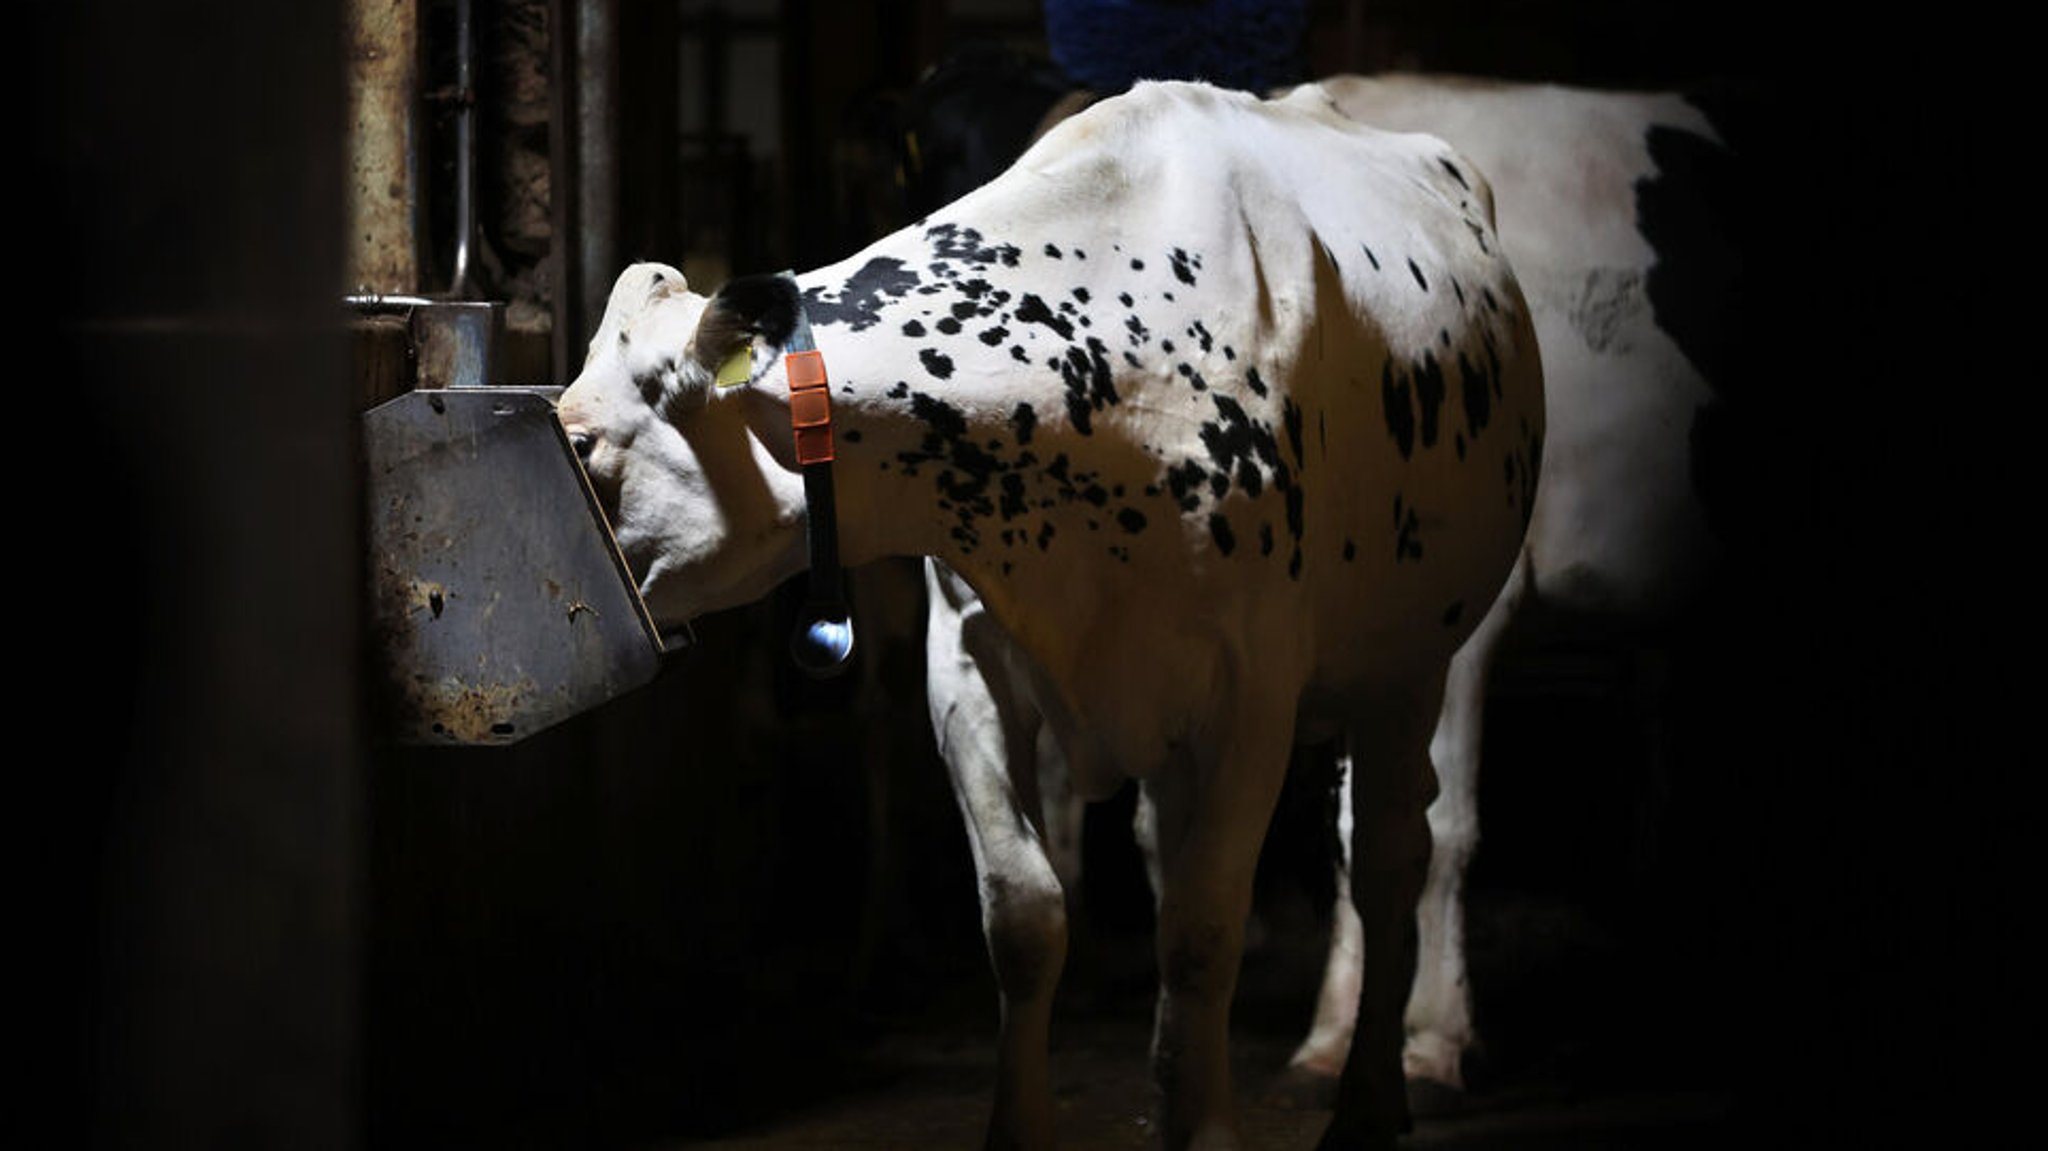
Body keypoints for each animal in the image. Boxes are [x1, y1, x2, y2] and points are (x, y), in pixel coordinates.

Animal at [552, 76, 1540, 1138]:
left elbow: (1205, 928)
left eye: (585, 444)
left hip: (1415, 658)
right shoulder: (966, 663)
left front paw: (1209, 1126)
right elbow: (1026, 914)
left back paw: (1369, 1098)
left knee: (1390, 854)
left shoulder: (1255, 692)